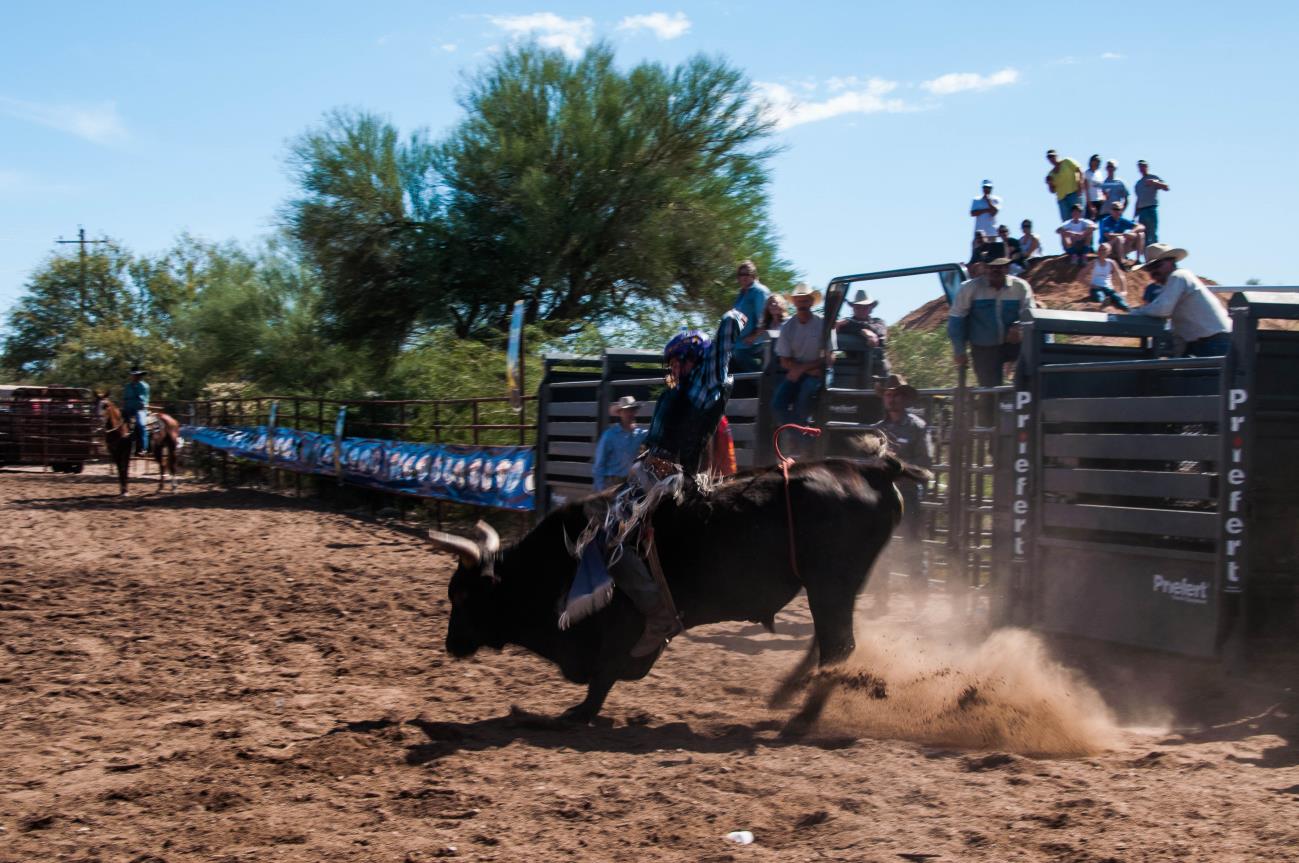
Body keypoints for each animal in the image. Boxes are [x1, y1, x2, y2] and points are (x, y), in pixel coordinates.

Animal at [431, 454, 919, 722]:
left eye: (465, 596)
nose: (452, 644)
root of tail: (871, 467)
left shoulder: (620, 629)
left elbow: (604, 674)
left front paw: (579, 712)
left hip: (830, 584)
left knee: (838, 645)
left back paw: (805, 713)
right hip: (830, 589)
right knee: (829, 643)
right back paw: (789, 692)